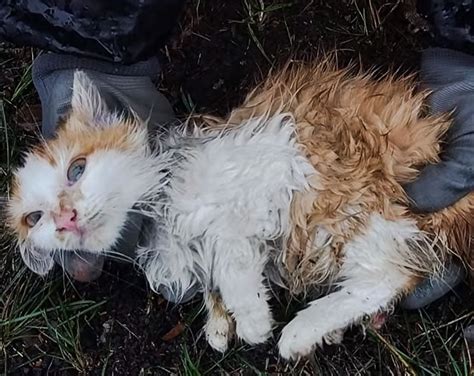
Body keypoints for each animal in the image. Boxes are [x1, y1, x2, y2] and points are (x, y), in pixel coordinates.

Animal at [6, 62, 470, 362]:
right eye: (34, 218)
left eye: (77, 168)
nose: (65, 218)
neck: (153, 210)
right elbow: (212, 279)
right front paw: (217, 324)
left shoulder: (264, 176)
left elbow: (230, 262)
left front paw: (252, 321)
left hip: (358, 205)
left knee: (391, 276)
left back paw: (300, 333)